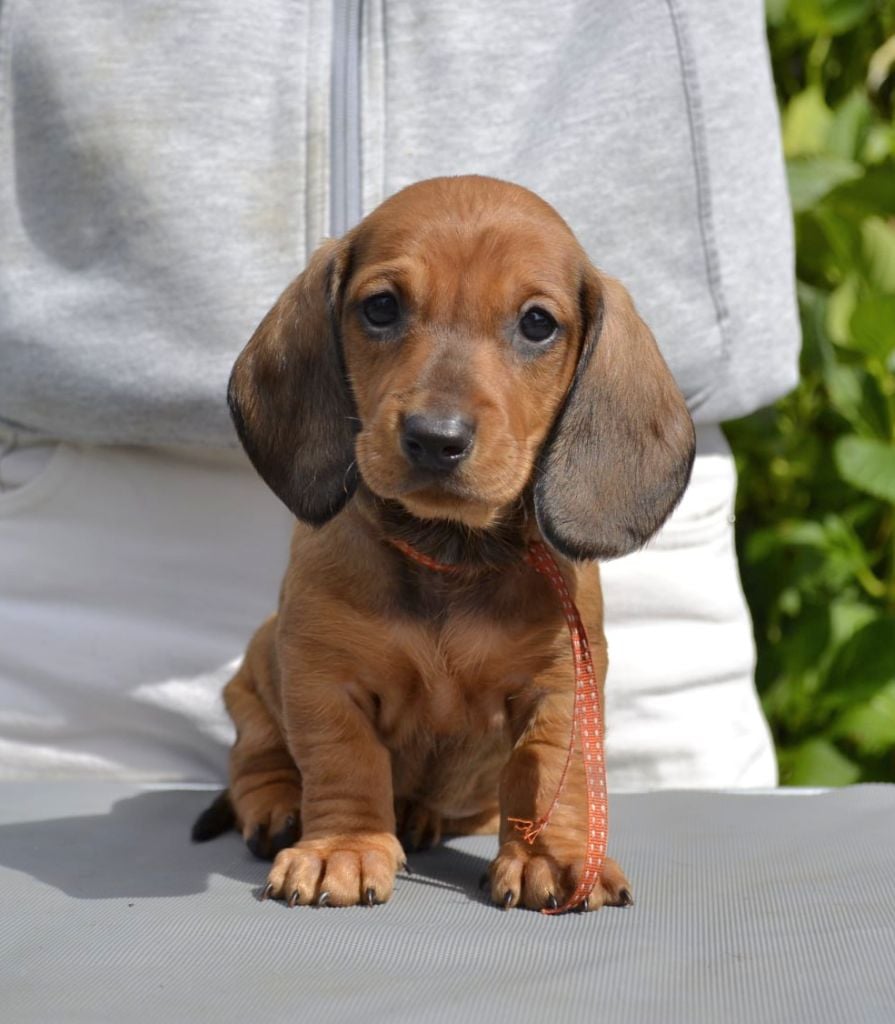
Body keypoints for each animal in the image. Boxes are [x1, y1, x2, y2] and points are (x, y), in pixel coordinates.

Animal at [193, 176, 696, 913]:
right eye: (380, 307)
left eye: (537, 323)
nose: (435, 438)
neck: (451, 554)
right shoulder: (320, 677)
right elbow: (343, 760)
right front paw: (344, 848)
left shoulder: (561, 686)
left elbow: (546, 769)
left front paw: (550, 855)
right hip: (253, 678)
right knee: (256, 758)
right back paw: (278, 807)